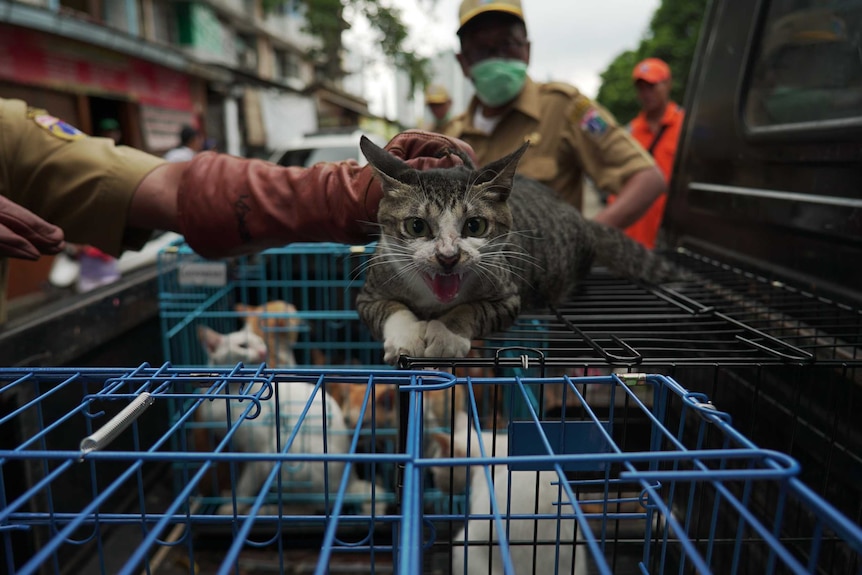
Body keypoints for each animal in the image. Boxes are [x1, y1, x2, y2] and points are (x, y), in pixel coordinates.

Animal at [197, 324, 386, 516]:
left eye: (260, 342)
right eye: (243, 345)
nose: (263, 351)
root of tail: (349, 481)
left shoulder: (259, 451)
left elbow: (246, 485)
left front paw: (231, 506)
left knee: (311, 507)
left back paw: (268, 510)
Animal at [358, 136, 680, 364]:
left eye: (475, 225)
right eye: (417, 226)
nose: (448, 256)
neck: (434, 301)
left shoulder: (509, 295)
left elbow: (472, 309)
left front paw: (446, 334)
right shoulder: (369, 292)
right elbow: (388, 308)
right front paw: (406, 337)